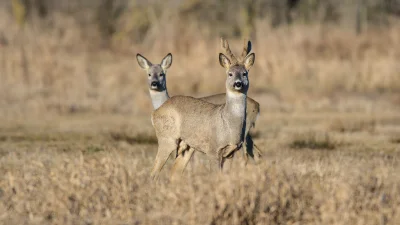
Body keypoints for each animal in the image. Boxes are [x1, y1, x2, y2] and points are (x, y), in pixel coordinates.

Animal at [150, 38, 256, 179]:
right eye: (230, 74)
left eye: (245, 73)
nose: (238, 84)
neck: (228, 125)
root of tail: (155, 112)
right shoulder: (213, 150)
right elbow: (215, 176)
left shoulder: (230, 152)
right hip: (167, 138)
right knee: (154, 171)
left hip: (186, 146)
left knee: (174, 173)